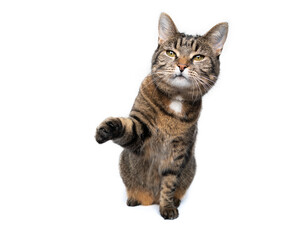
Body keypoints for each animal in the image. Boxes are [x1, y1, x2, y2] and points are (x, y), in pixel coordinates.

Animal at [95, 12, 229, 219]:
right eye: (171, 53)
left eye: (198, 57)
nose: (181, 65)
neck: (176, 98)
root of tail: (150, 200)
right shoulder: (140, 133)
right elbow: (125, 127)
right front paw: (105, 130)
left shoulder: (179, 150)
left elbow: (169, 183)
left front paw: (167, 206)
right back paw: (134, 198)